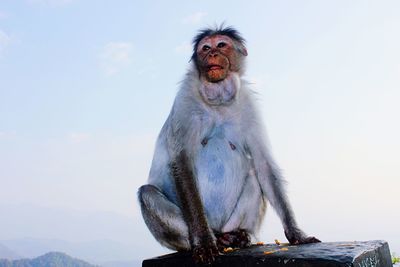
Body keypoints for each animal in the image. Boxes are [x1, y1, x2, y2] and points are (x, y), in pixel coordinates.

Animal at [138, 25, 318, 266]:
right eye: (205, 48)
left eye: (221, 45)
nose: (213, 53)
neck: (218, 98)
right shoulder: (185, 101)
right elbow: (182, 164)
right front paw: (203, 241)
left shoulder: (249, 106)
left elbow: (264, 165)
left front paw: (296, 233)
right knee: (147, 193)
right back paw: (209, 240)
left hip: (231, 221)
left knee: (254, 176)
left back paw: (241, 236)